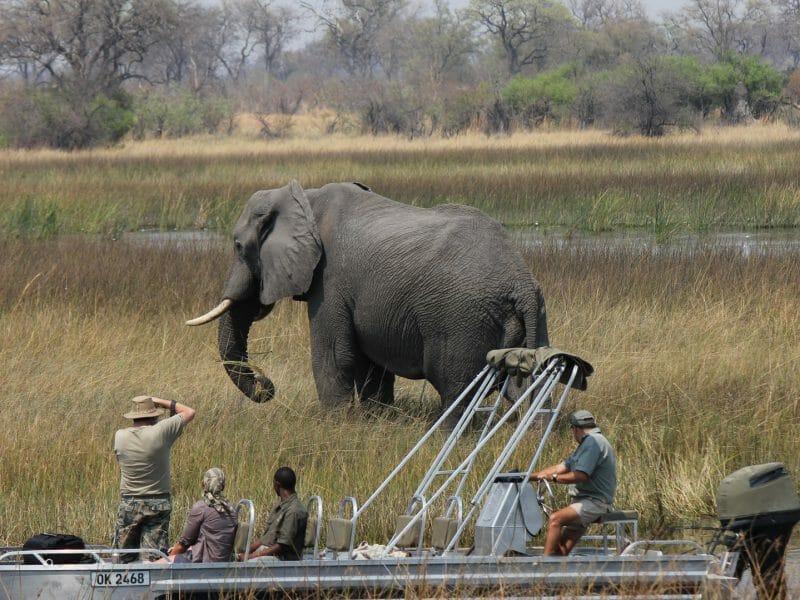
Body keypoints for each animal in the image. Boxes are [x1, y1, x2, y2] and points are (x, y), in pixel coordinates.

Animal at [187, 180, 549, 417]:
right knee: (523, 387)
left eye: (238, 246)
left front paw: (336, 425)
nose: (266, 385)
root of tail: (521, 284)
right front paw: (376, 420)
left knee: (456, 388)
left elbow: (335, 356)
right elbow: (372, 362)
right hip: (531, 319)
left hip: (463, 321)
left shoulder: (330, 281)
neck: (306, 198)